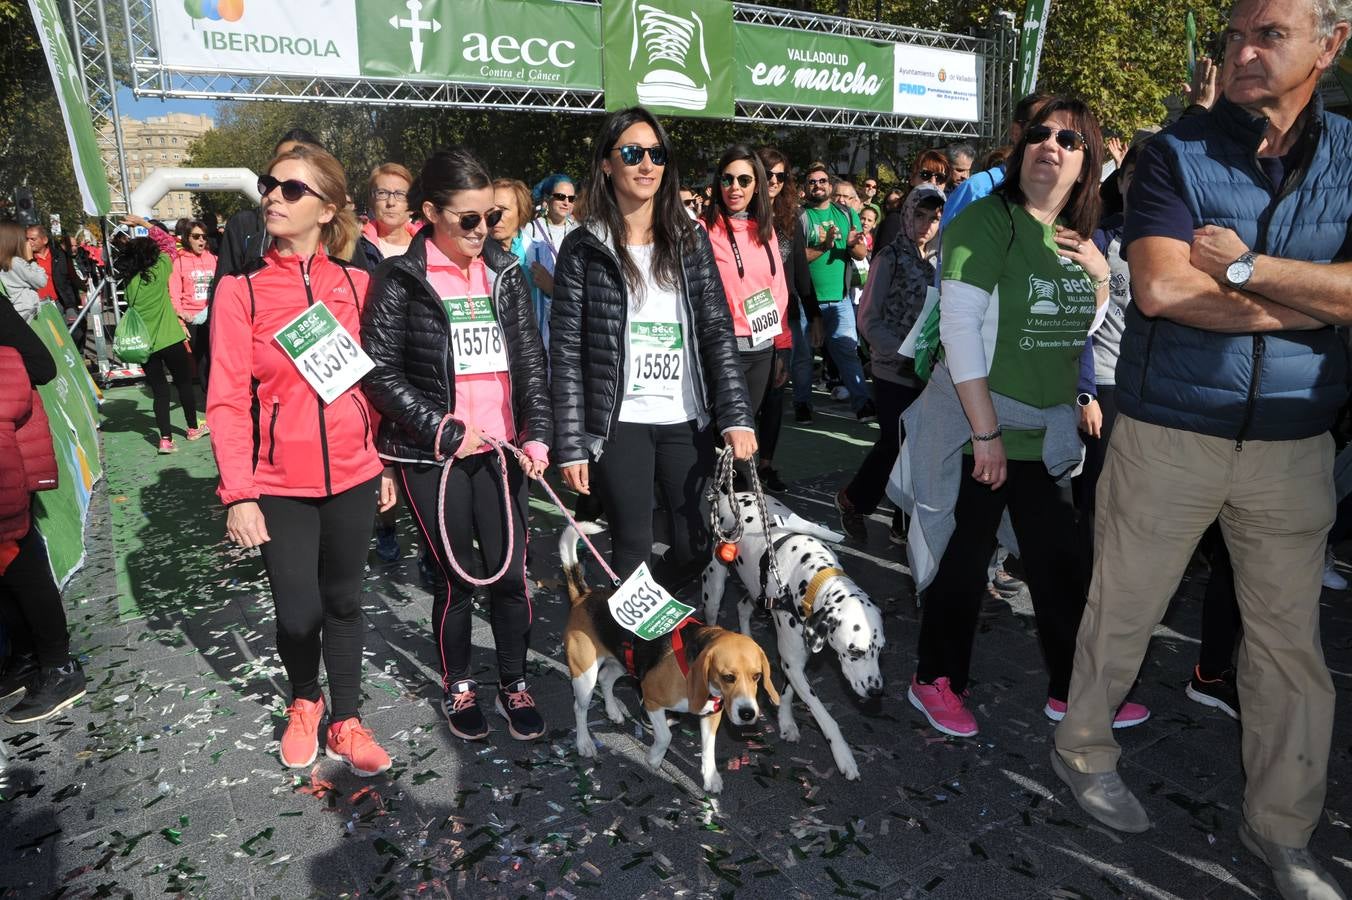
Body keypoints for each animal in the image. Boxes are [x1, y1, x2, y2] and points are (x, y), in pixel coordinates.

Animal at [562, 518, 784, 794]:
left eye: (757, 676)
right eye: (728, 677)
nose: (747, 714)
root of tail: (584, 595)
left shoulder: (711, 714)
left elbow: (708, 748)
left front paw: (710, 777)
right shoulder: (652, 699)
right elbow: (666, 736)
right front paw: (655, 758)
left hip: (623, 661)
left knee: (606, 679)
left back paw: (613, 712)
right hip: (584, 674)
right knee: (579, 707)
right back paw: (584, 742)